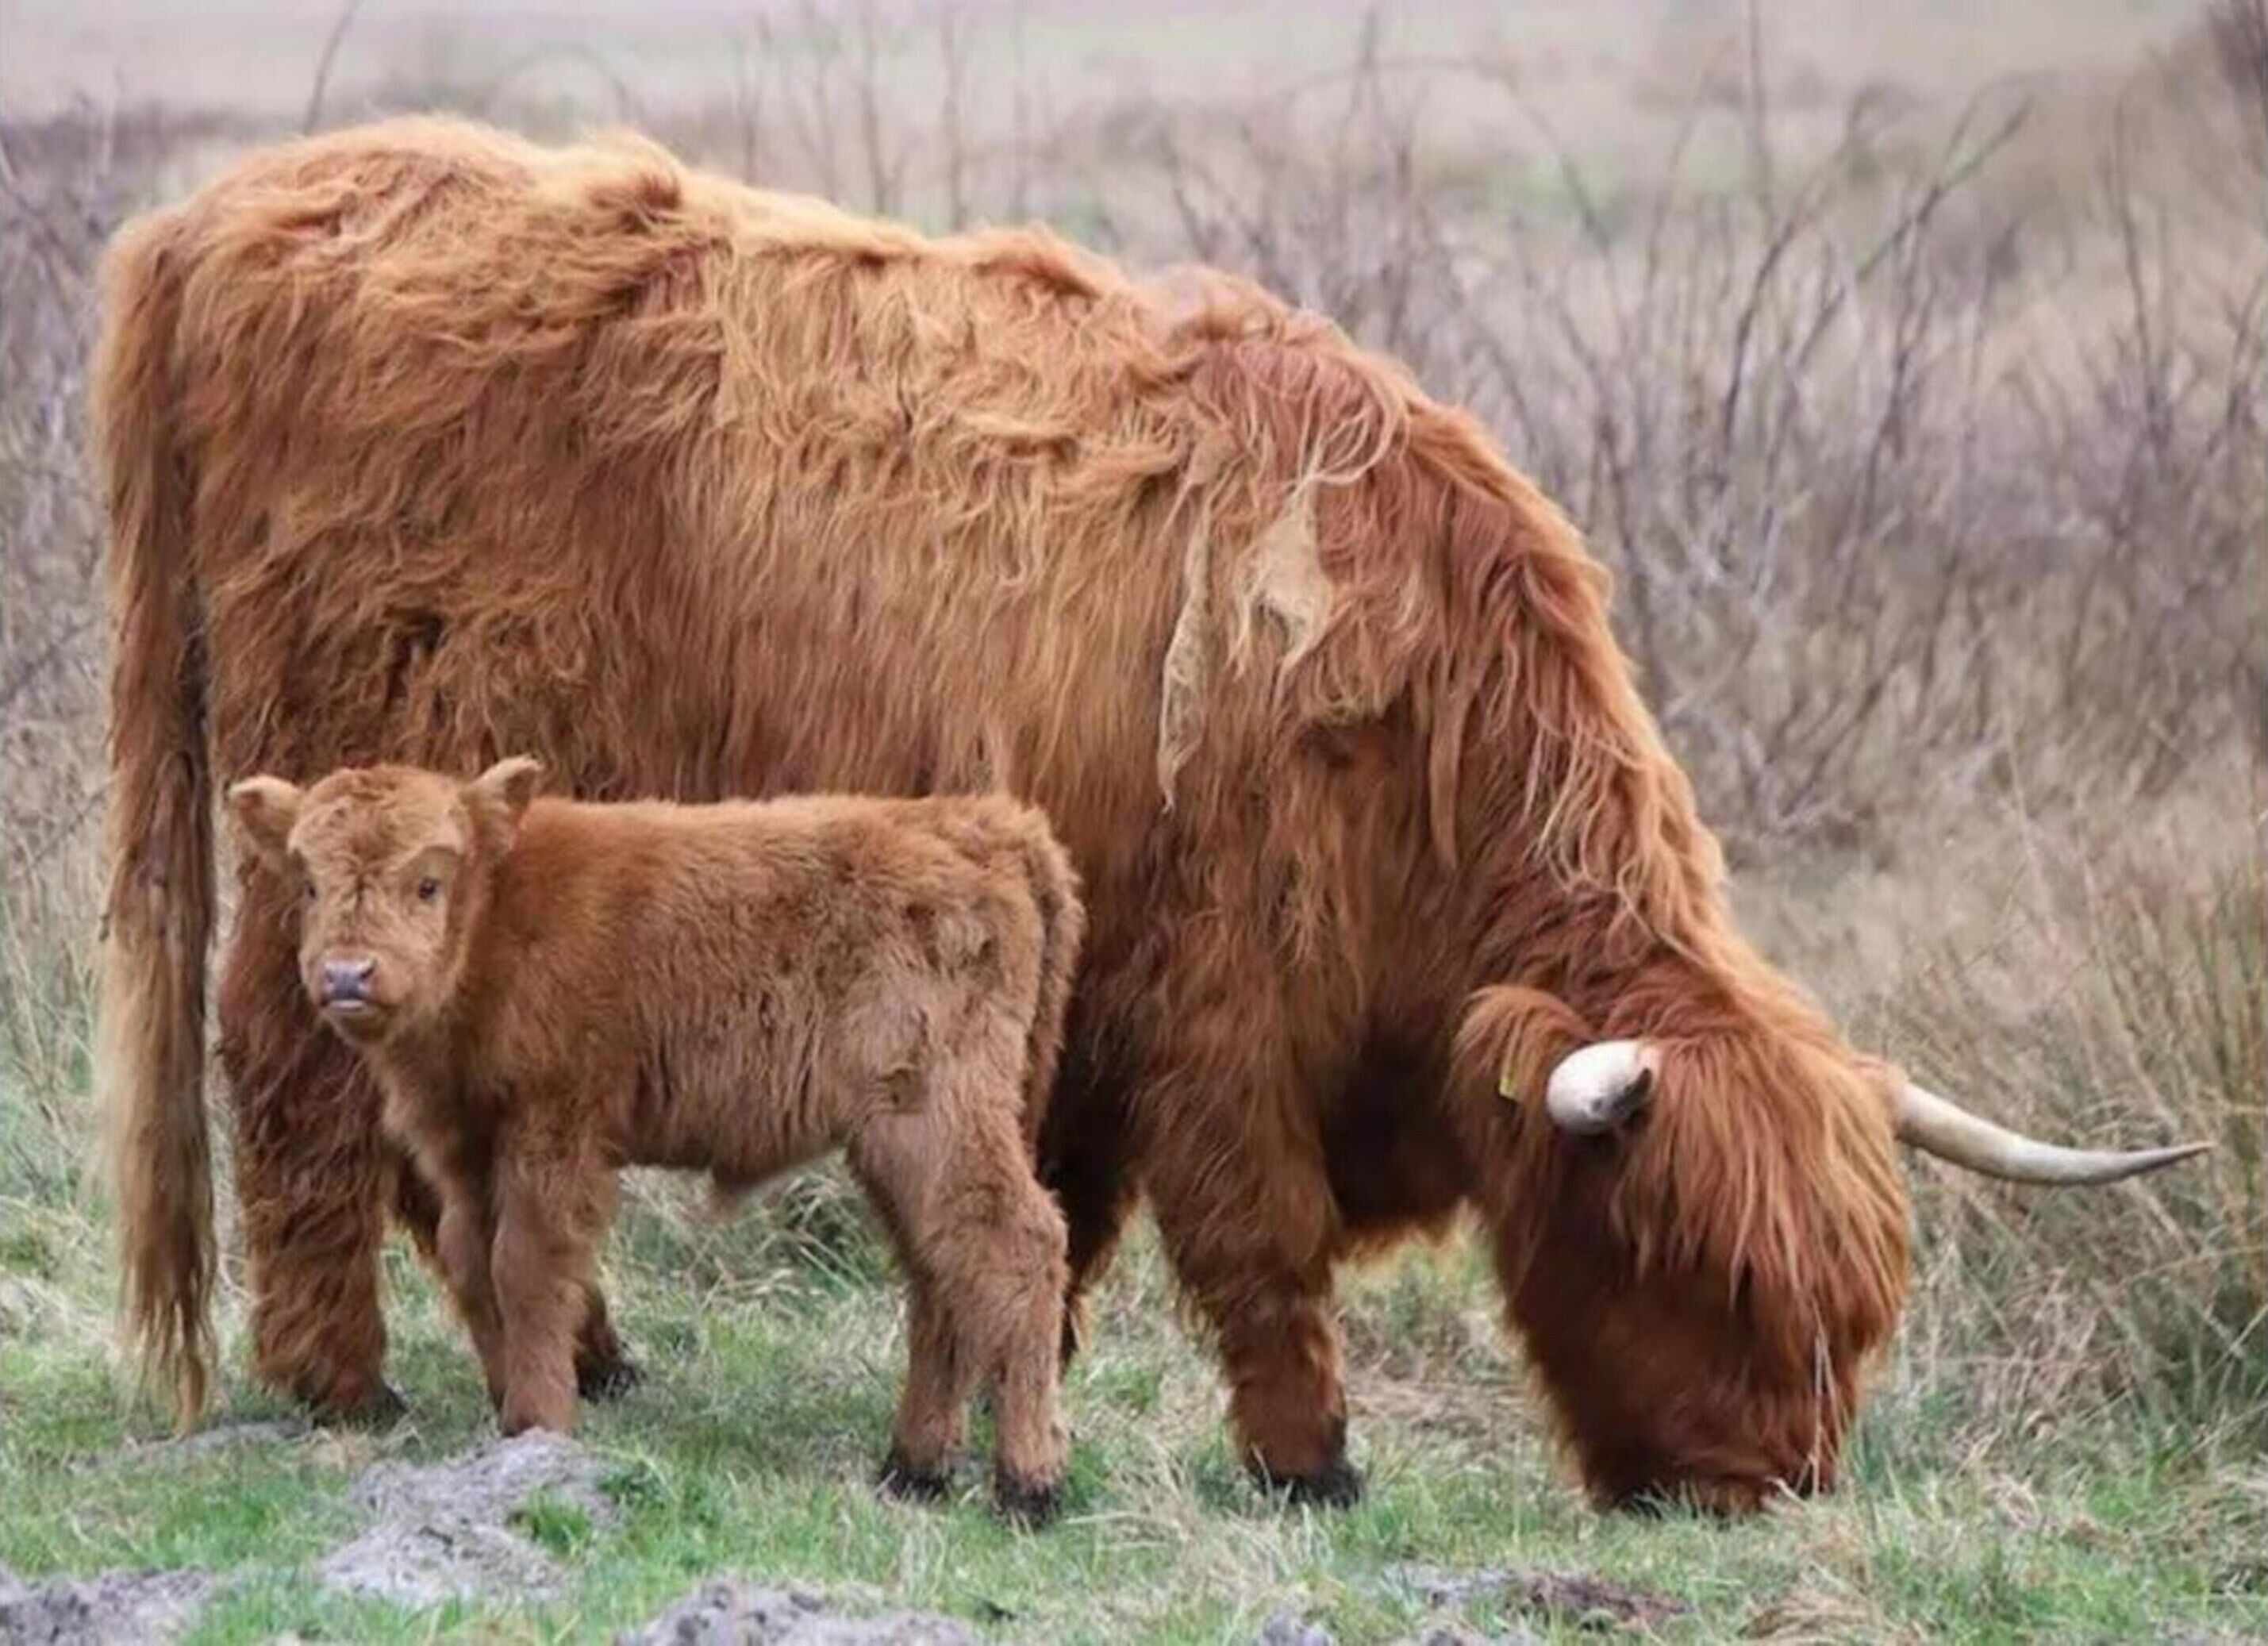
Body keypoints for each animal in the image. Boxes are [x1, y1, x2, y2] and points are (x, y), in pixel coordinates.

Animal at [221, 758, 1079, 1519]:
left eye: (428, 882)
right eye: (309, 883)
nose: (347, 975)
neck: (499, 905)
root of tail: (983, 827)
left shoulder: (555, 1134)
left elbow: (526, 1267)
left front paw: (539, 1422)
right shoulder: (464, 1144)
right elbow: (471, 1263)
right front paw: (508, 1411)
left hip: (937, 1121)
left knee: (1015, 1246)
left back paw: (1027, 1487)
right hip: (895, 1145)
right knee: (939, 1270)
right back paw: (913, 1469)